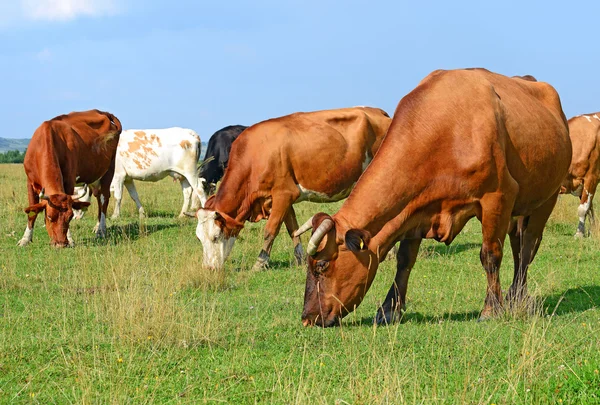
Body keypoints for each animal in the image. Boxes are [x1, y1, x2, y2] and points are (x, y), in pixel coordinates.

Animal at [17, 109, 122, 246]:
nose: (61, 244)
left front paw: (70, 239)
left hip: (108, 171)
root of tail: (102, 112)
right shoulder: (30, 181)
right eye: (49, 216)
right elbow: (32, 212)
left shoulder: (69, 179)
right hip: (94, 176)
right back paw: (97, 227)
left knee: (104, 199)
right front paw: (25, 239)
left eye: (70, 216)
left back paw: (101, 230)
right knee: (98, 197)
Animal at [192, 105, 394, 270]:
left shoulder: (284, 194)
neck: (255, 156)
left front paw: (260, 262)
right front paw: (301, 259)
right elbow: (293, 229)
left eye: (215, 237)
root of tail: (379, 112)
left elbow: (270, 231)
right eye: (198, 238)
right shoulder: (283, 198)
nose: (208, 268)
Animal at [298, 68, 572, 326]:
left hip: (547, 198)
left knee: (528, 247)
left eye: (321, 266)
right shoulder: (414, 208)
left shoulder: (498, 196)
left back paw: (516, 296)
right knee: (518, 243)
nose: (307, 318)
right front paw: (388, 310)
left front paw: (491, 309)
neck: (446, 131)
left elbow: (490, 255)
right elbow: (404, 260)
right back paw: (515, 294)